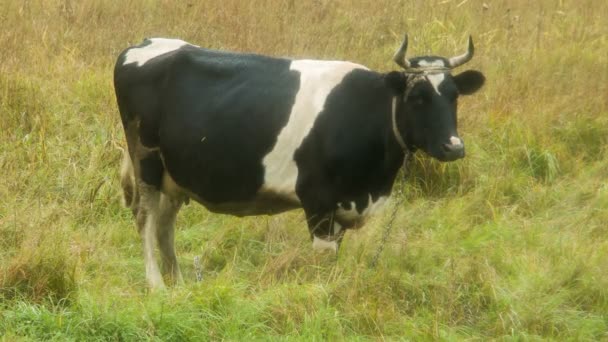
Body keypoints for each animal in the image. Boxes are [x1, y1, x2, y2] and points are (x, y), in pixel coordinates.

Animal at [114, 35, 484, 288]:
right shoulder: (318, 199)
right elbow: (323, 258)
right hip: (146, 162)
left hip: (174, 175)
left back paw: (178, 282)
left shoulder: (343, 206)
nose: (454, 147)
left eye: (453, 97)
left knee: (164, 224)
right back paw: (157, 285)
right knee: (145, 219)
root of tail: (145, 44)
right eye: (418, 97)